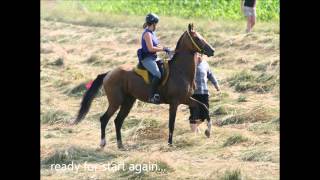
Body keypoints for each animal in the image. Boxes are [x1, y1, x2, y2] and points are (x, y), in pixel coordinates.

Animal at [72, 23, 215, 149]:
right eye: (197, 38)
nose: (212, 51)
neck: (180, 70)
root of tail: (109, 73)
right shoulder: (175, 103)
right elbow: (171, 124)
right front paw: (170, 144)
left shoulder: (186, 99)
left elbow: (204, 107)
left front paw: (208, 131)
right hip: (115, 102)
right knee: (104, 119)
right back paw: (103, 143)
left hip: (128, 102)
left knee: (118, 121)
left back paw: (120, 145)